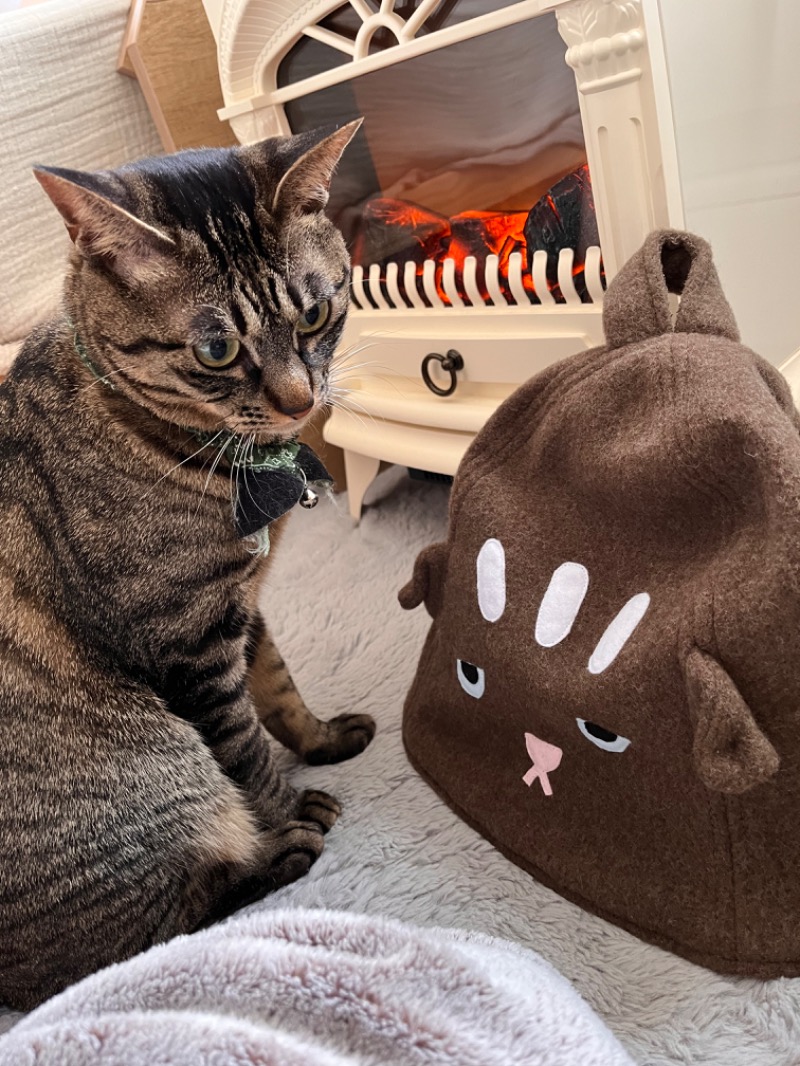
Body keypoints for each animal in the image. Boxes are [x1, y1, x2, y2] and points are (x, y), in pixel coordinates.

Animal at [0, 118, 375, 1006]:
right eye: (215, 349)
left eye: (316, 312)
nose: (301, 401)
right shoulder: (189, 646)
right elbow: (246, 749)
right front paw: (293, 811)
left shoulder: (243, 609)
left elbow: (279, 691)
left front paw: (320, 738)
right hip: (158, 774)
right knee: (136, 945)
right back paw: (277, 856)